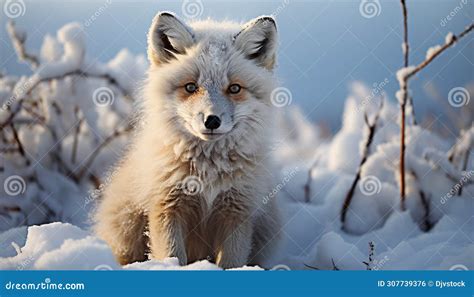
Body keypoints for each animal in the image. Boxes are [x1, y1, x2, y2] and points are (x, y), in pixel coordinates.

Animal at [94, 11, 284, 268]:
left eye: (234, 88)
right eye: (191, 87)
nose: (212, 120)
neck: (207, 174)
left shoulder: (237, 211)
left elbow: (231, 262)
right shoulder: (167, 206)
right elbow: (172, 255)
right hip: (127, 226)